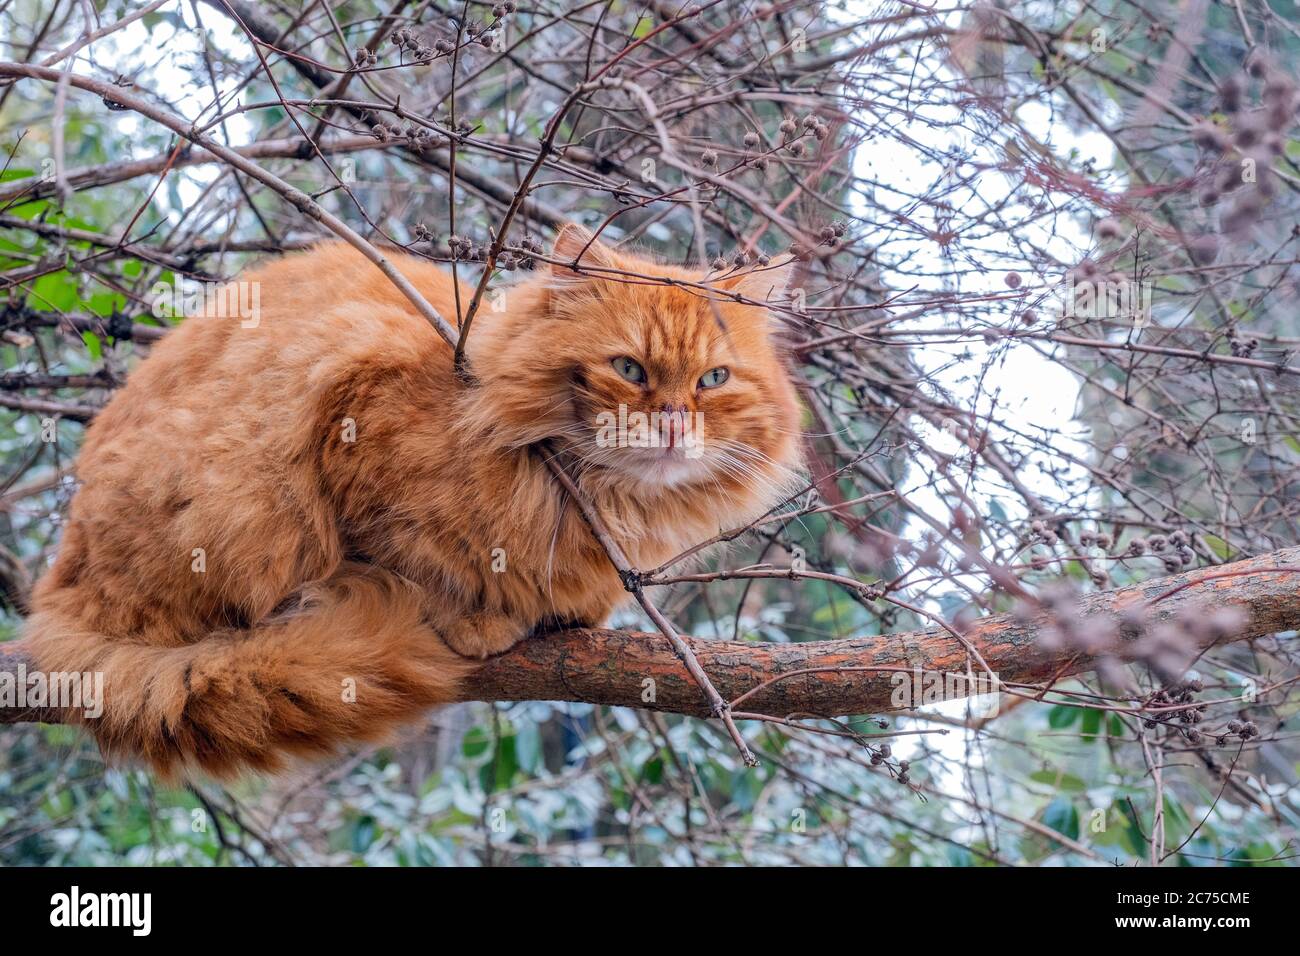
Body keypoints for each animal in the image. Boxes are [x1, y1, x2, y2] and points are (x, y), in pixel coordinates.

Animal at [22, 223, 800, 780]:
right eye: (630, 369)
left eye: (713, 380)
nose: (672, 424)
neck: (601, 501)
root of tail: (59, 595)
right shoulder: (353, 403)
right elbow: (411, 558)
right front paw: (469, 616)